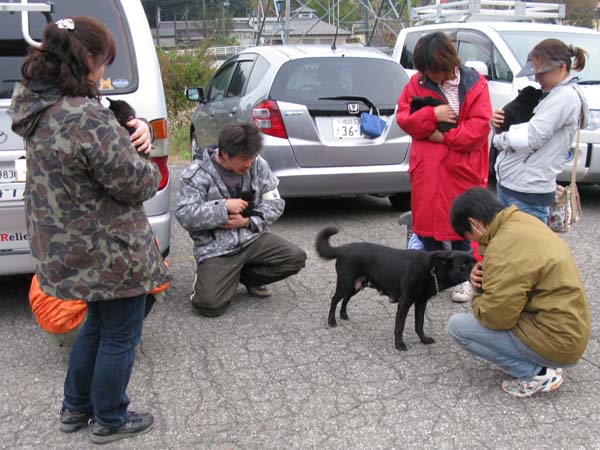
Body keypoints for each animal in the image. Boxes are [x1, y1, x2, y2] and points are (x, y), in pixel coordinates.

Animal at [316, 227, 475, 351]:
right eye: (464, 265)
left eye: (473, 261)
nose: (478, 266)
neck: (432, 268)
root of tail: (343, 248)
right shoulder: (405, 303)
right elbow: (400, 327)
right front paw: (399, 345)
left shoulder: (421, 302)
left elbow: (419, 324)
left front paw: (423, 339)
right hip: (346, 284)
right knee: (334, 300)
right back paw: (331, 321)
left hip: (354, 286)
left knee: (345, 300)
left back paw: (343, 315)